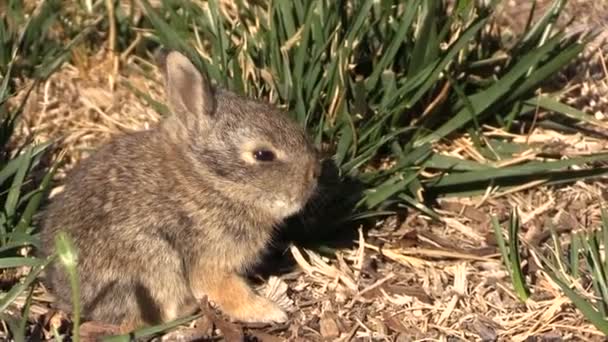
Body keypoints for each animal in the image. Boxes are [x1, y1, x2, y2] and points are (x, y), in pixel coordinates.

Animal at [38, 49, 320, 330]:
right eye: (263, 155)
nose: (314, 174)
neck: (210, 179)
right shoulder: (209, 258)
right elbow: (225, 291)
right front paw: (271, 312)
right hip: (157, 262)